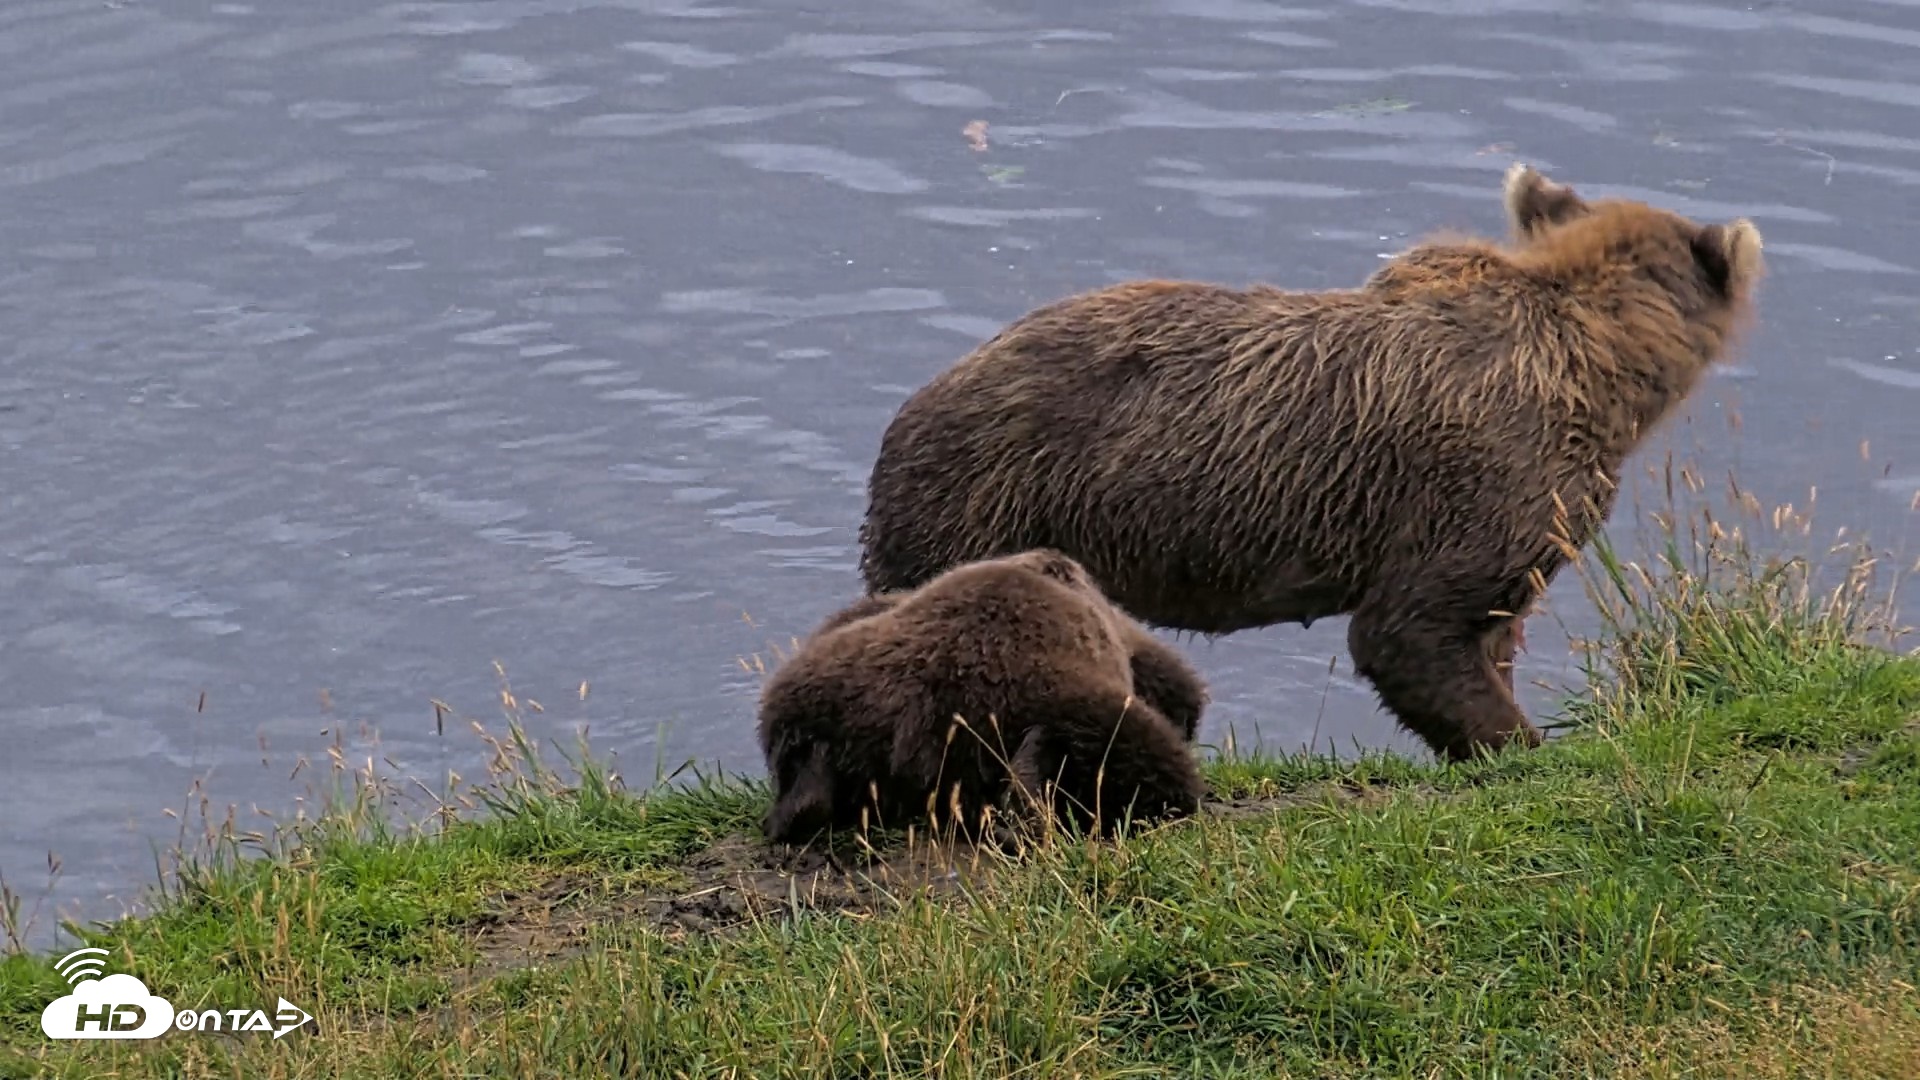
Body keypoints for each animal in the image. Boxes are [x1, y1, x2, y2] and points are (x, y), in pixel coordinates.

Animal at [855, 164, 1764, 764]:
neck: (1594, 364)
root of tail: (909, 408)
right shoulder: (1494, 475)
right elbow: (1414, 628)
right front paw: (1514, 740)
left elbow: (1491, 626)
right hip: (988, 502)